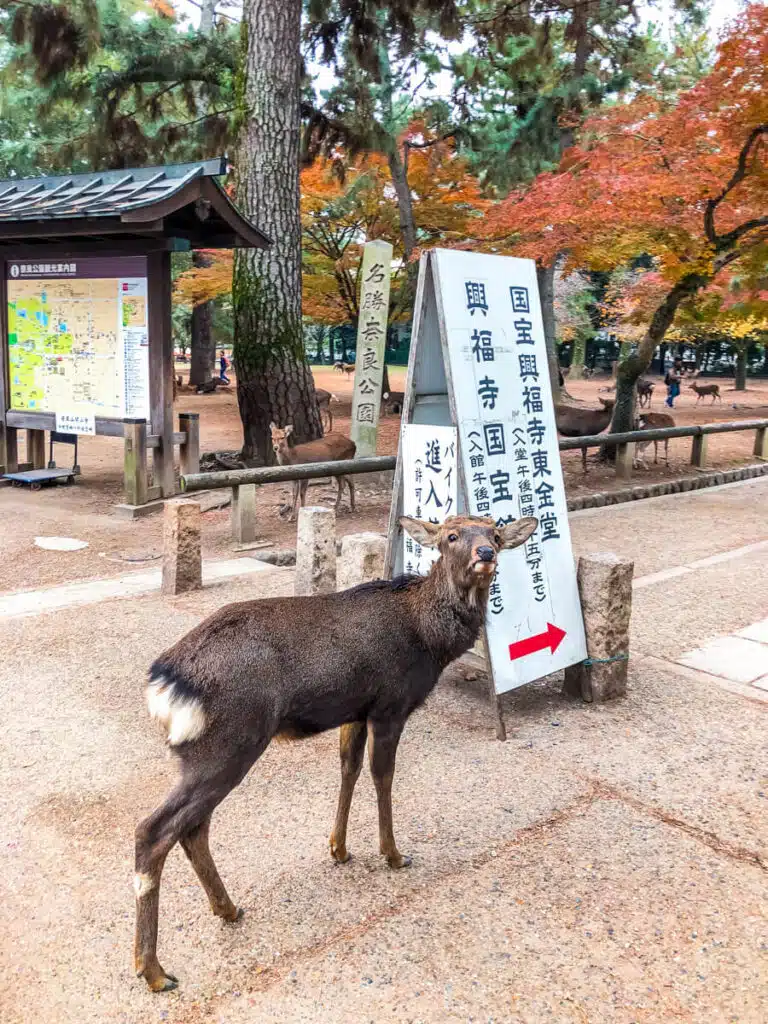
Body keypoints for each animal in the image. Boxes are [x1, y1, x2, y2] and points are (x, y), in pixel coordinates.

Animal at [134, 513, 538, 992]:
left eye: (495, 532)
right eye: (451, 535)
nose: (486, 554)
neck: (428, 639)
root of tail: (164, 683)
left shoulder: (355, 708)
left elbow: (348, 769)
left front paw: (339, 849)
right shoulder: (390, 703)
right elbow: (382, 775)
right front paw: (393, 854)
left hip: (209, 752)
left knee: (193, 829)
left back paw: (228, 909)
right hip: (229, 742)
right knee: (155, 830)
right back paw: (154, 971)